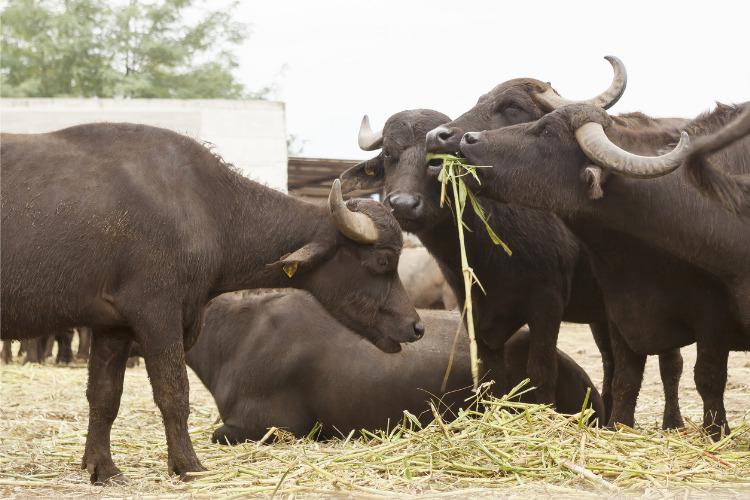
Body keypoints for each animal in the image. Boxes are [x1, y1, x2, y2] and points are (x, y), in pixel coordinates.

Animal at [0, 122, 424, 484]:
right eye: (383, 261)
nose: (416, 326)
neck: (207, 208)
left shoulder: (113, 324)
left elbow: (104, 396)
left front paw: (102, 468)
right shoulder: (157, 312)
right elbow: (174, 393)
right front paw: (188, 465)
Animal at [458, 102, 750, 438]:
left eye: (545, 131)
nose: (467, 138)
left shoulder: (713, 317)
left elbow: (708, 378)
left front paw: (717, 433)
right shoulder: (620, 307)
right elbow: (625, 377)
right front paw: (616, 426)